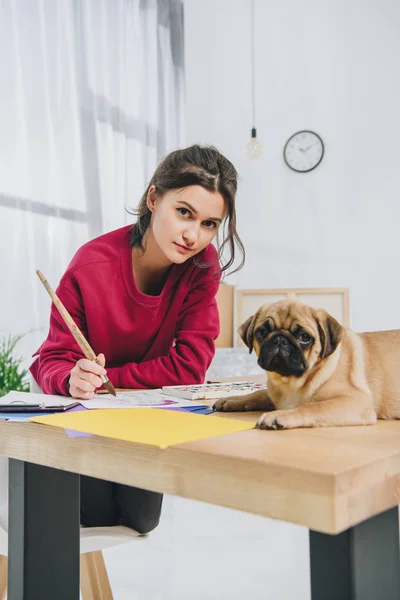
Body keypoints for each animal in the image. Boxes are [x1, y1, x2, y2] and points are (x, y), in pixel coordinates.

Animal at [214, 300, 400, 432]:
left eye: (304, 337)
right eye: (262, 332)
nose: (280, 340)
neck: (289, 383)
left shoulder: (356, 401)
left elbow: (312, 406)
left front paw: (279, 415)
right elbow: (259, 393)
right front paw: (234, 399)